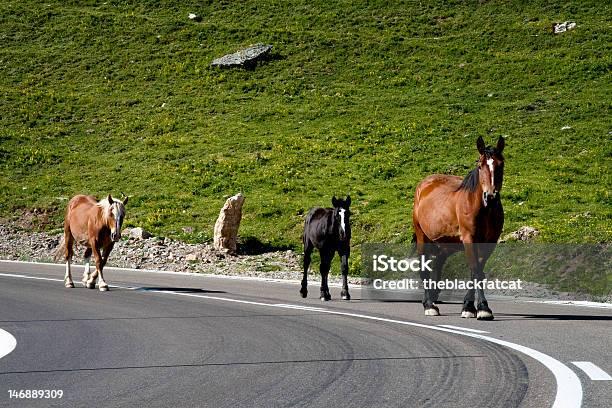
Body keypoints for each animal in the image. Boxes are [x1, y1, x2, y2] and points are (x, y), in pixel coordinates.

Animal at [412, 135, 506, 320]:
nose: (491, 196)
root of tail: (423, 185)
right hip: (422, 237)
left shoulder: (489, 242)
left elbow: (477, 271)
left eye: (501, 165)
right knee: (424, 267)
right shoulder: (469, 238)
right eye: (480, 165)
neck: (483, 209)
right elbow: (476, 270)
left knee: (438, 262)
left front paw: (469, 306)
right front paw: (482, 308)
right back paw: (429, 305)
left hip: (448, 243)